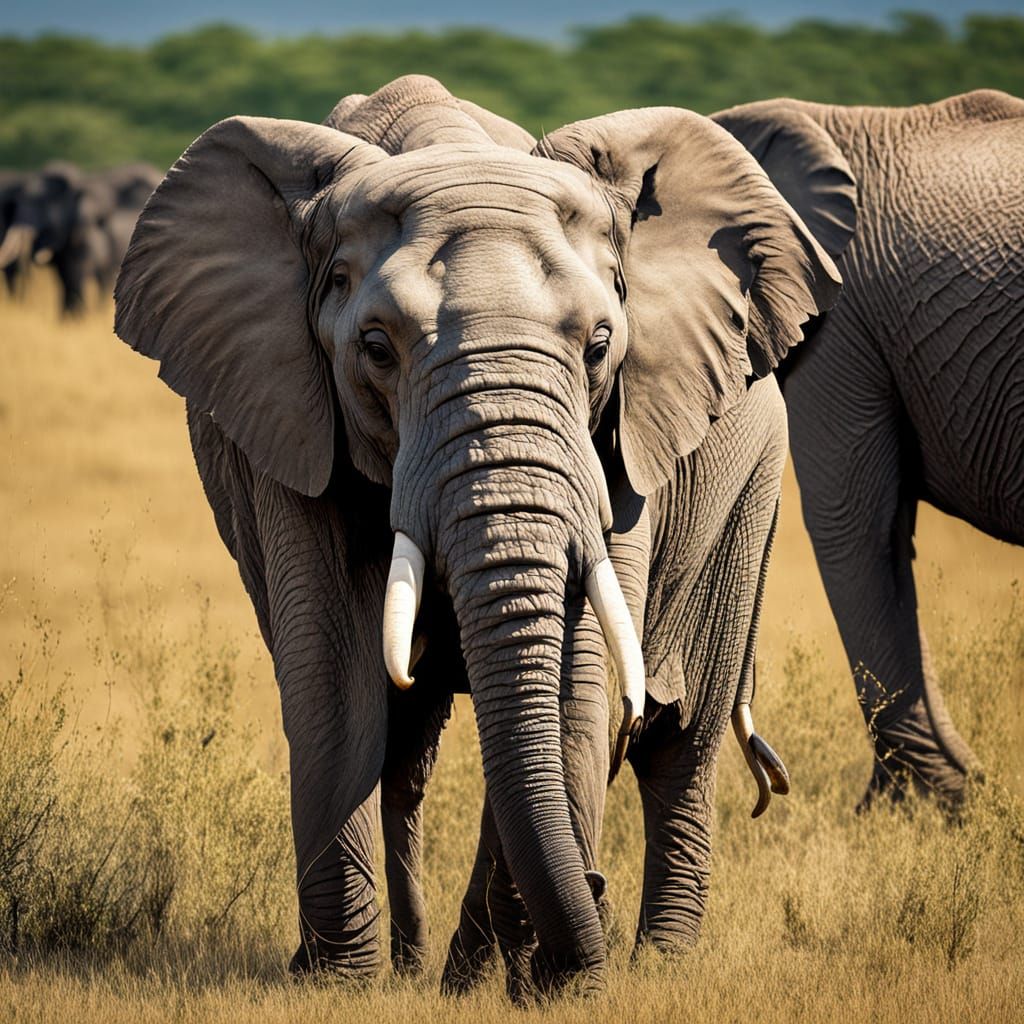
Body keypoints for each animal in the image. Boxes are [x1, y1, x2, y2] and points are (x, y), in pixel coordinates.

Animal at [0, 160, 161, 315]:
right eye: (15, 206)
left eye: (42, 204)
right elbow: (64, 277)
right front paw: (66, 320)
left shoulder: (84, 227)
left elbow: (75, 273)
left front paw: (76, 319)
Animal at [113, 75, 840, 994]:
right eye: (375, 348)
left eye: (601, 346)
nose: (595, 885)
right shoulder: (285, 410)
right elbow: (332, 676)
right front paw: (338, 984)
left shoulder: (619, 443)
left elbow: (580, 686)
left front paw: (543, 988)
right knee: (405, 750)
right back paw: (424, 964)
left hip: (750, 496)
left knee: (682, 741)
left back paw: (639, 963)